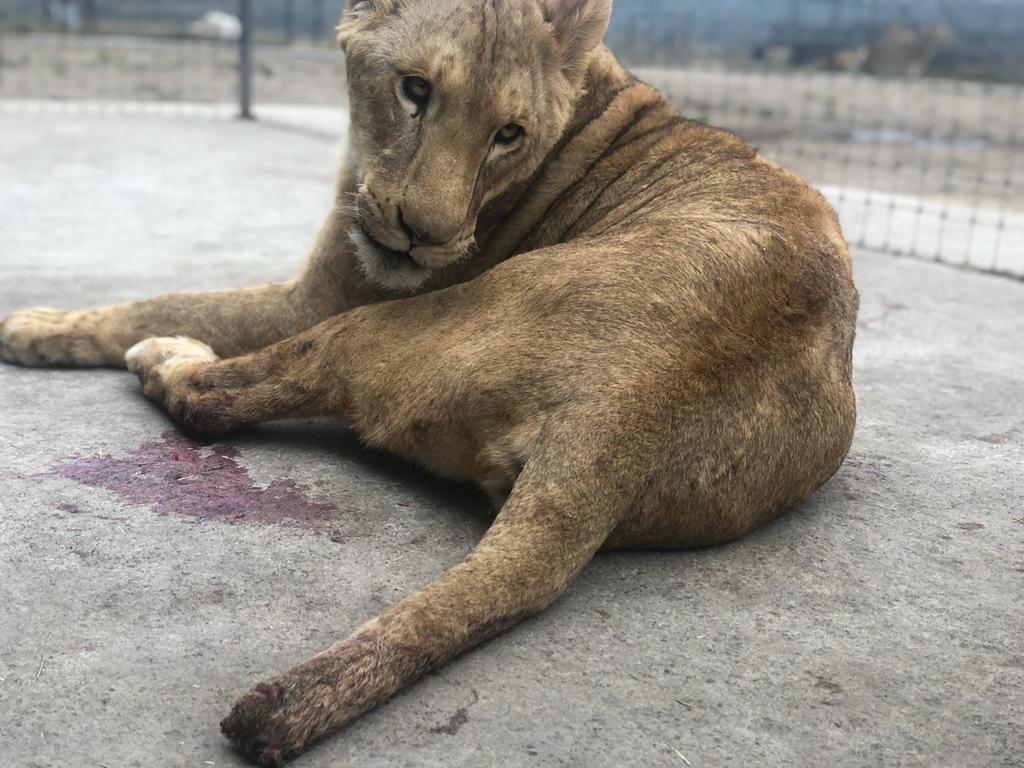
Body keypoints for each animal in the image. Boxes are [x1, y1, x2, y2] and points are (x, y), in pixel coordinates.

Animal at [0, 1, 856, 768]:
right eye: (415, 91)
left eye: (508, 134)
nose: (423, 236)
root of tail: (627, 421)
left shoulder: (319, 300)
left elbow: (160, 298)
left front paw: (34, 325)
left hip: (375, 328)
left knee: (214, 398)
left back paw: (166, 357)